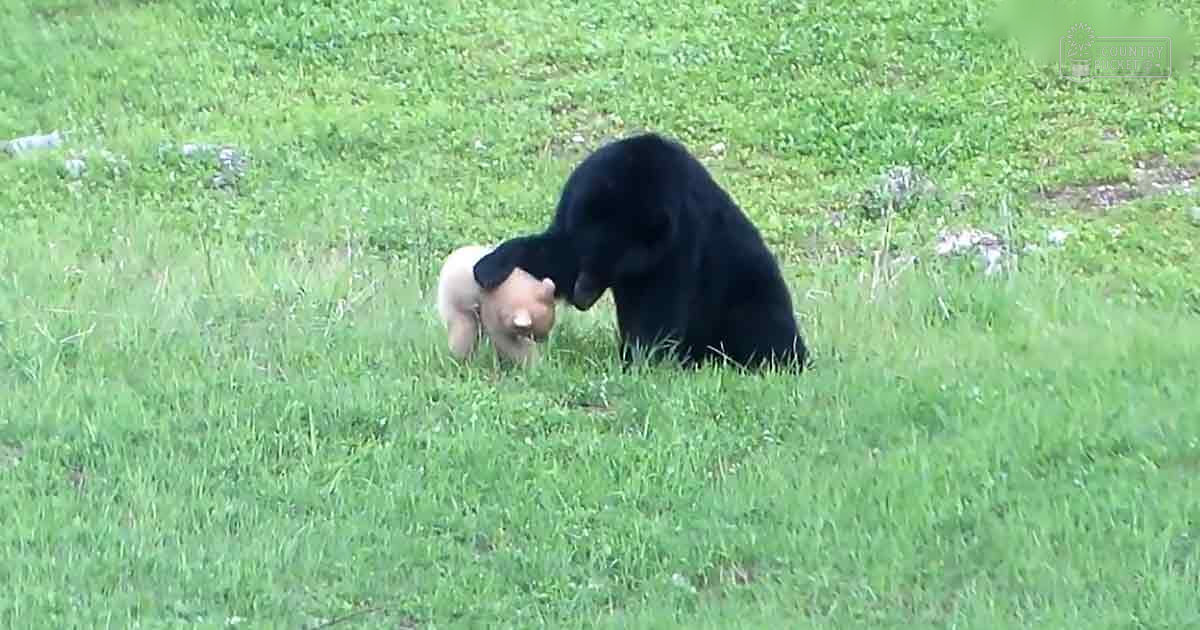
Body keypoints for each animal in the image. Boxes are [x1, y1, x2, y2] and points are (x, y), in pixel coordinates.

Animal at [472, 132, 807, 371]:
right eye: (589, 262)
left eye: (615, 268)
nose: (582, 298)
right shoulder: (578, 204)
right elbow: (559, 254)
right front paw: (491, 264)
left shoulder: (681, 237)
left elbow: (660, 303)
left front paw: (641, 360)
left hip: (751, 292)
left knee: (762, 324)